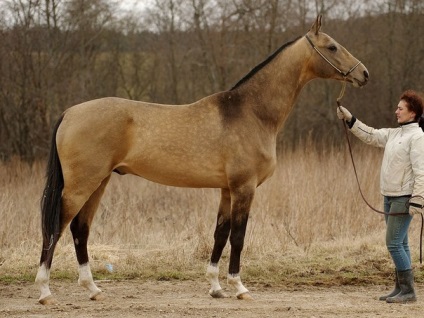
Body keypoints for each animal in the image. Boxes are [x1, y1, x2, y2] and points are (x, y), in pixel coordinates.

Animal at [35, 14, 368, 304]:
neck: (252, 112)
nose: (363, 74)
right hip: (80, 185)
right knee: (56, 228)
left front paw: (215, 287)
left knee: (80, 229)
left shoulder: (226, 190)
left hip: (99, 182)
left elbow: (219, 234)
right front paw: (239, 287)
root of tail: (70, 112)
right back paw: (45, 292)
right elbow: (238, 237)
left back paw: (93, 289)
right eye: (332, 46)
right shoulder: (244, 188)